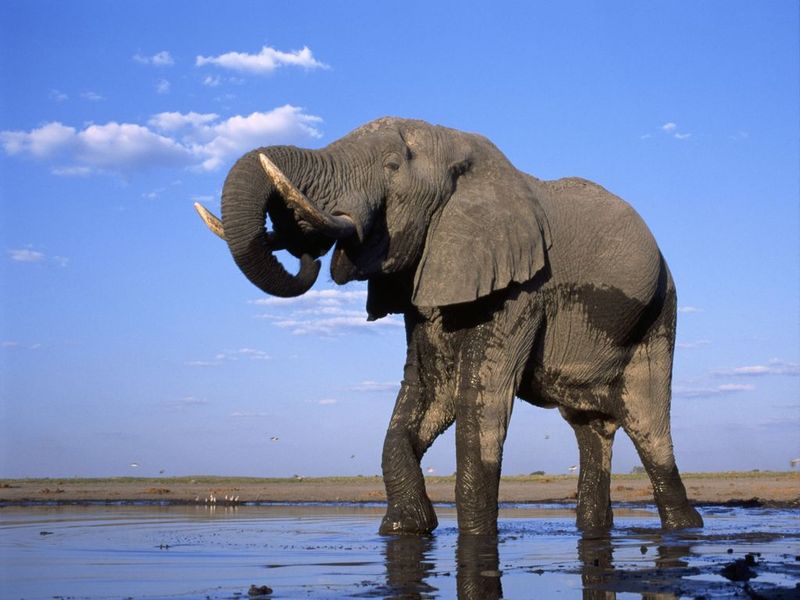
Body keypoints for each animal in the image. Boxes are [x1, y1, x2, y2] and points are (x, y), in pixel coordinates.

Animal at [195, 117, 703, 536]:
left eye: (392, 165)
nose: (304, 241)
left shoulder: (522, 287)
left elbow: (481, 405)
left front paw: (474, 537)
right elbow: (427, 396)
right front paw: (407, 529)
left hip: (660, 315)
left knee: (648, 425)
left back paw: (686, 528)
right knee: (591, 430)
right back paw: (595, 529)